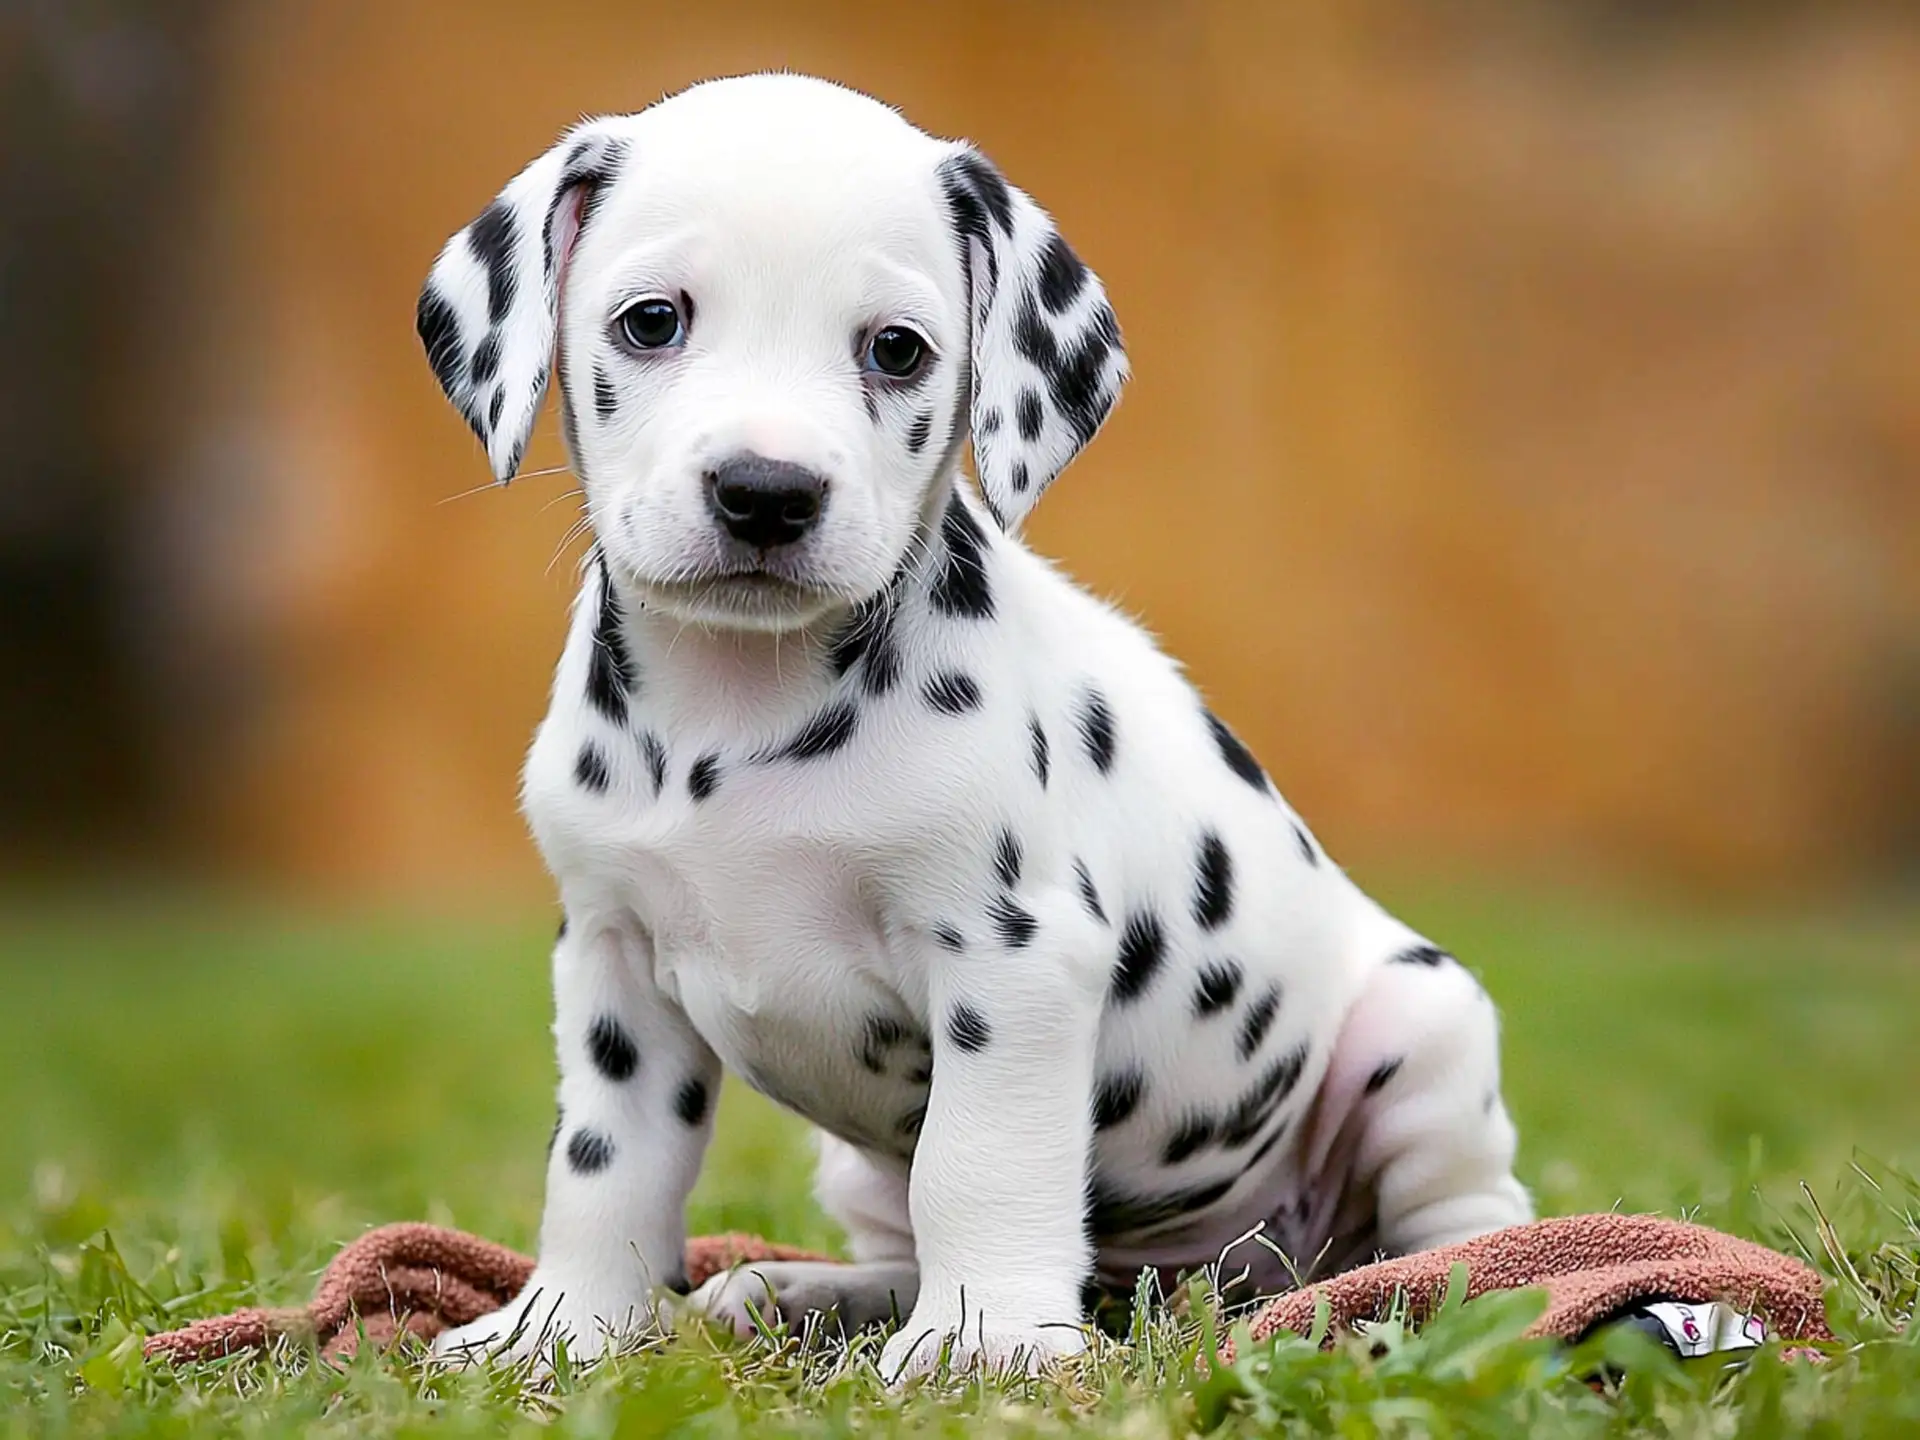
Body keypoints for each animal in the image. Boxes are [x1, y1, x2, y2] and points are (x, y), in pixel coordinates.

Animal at [420, 73, 1528, 1382]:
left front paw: (983, 1341)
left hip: (1421, 1039)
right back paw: (805, 1293)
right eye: (652, 322)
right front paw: (560, 1327)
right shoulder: (612, 964)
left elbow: (979, 1163)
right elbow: (604, 1171)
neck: (735, 715)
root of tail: (1213, 1278)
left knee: (1465, 1217)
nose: (765, 494)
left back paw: (1456, 1298)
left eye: (896, 349)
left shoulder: (1015, 957)